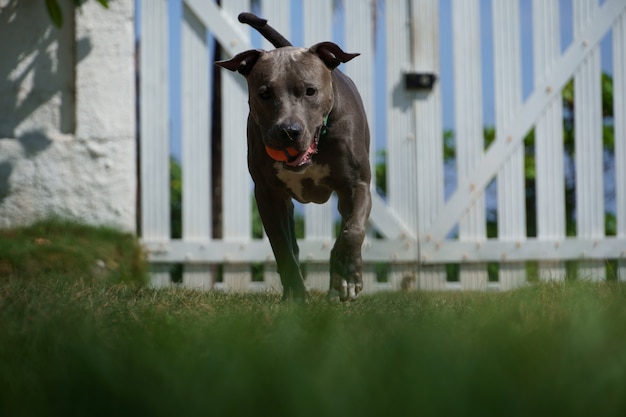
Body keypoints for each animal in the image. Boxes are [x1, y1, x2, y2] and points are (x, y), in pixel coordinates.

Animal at [216, 12, 370, 300]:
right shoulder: (268, 195)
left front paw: (347, 277)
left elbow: (352, 230)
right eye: (264, 93)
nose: (288, 131)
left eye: (310, 90)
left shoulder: (357, 185)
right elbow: (283, 248)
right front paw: (298, 296)